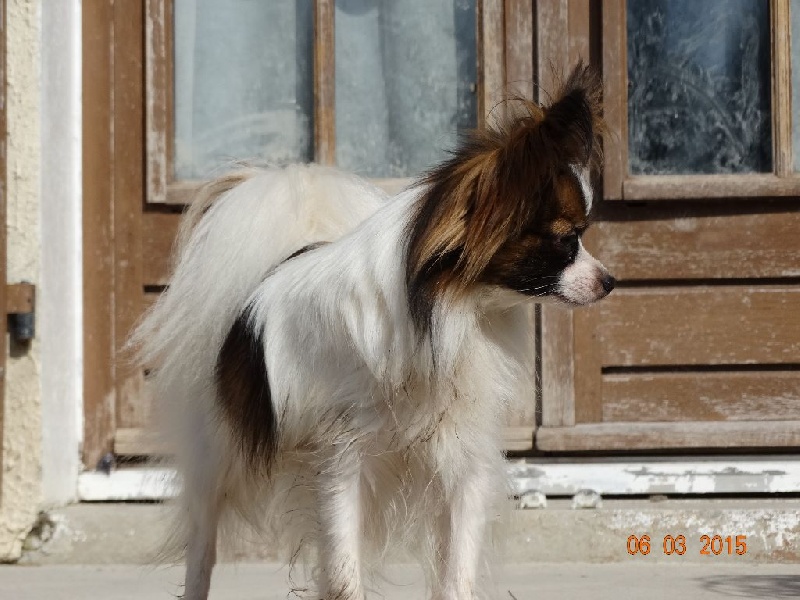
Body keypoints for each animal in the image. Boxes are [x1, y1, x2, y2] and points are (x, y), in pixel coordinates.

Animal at [133, 62, 613, 599]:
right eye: (567, 240)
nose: (610, 281)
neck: (451, 314)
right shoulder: (341, 462)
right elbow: (344, 577)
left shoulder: (464, 463)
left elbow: (456, 575)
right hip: (216, 458)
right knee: (203, 546)